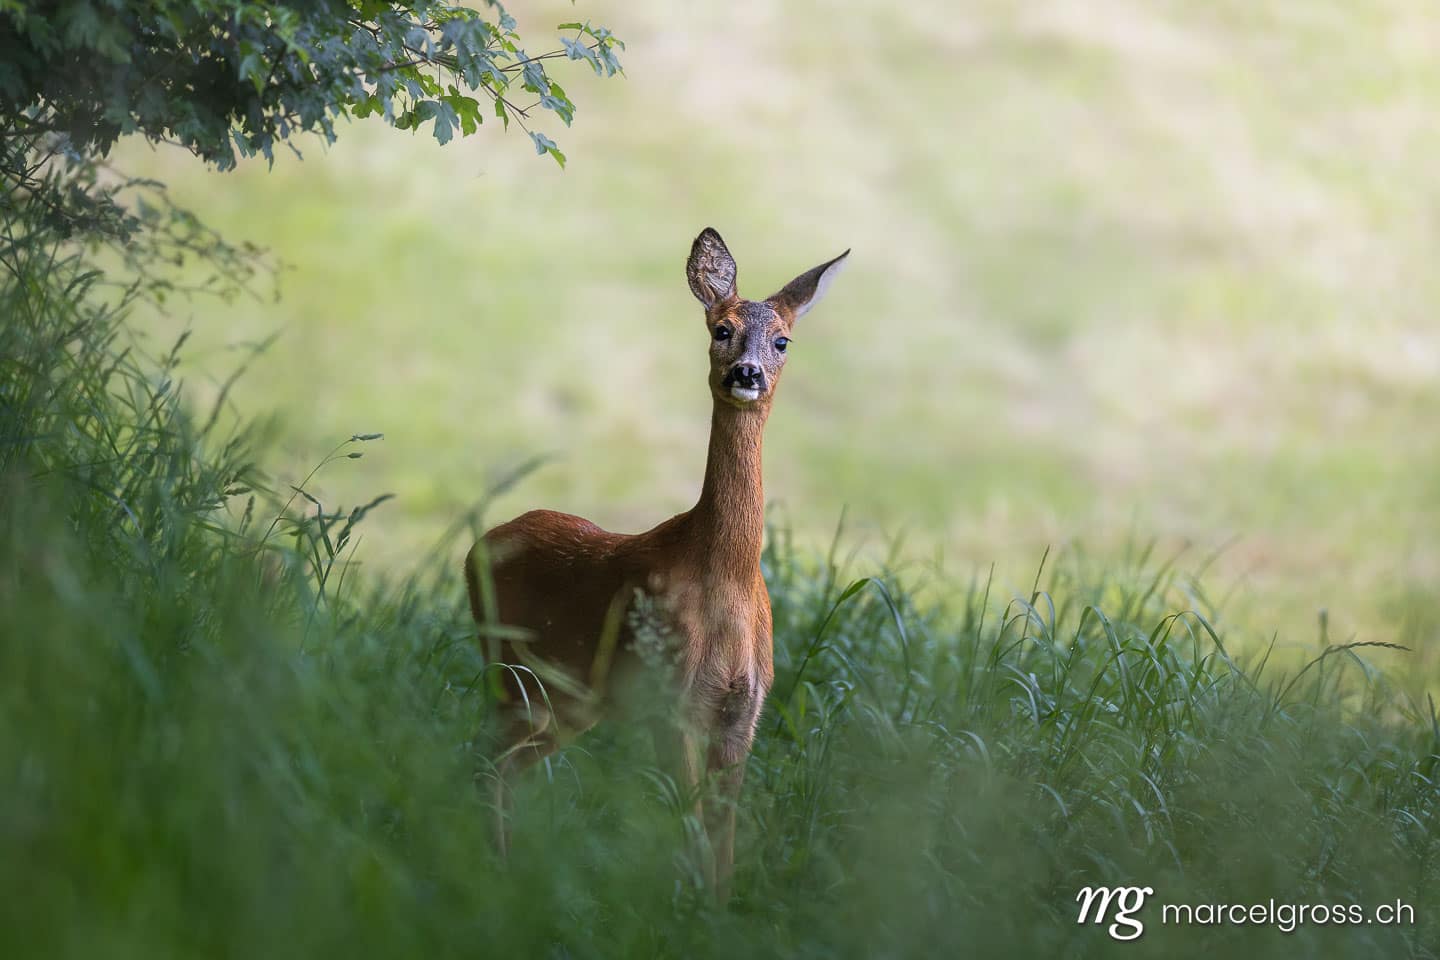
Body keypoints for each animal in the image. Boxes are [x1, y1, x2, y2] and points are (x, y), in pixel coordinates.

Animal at [464, 227, 847, 901]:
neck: (724, 583)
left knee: (506, 765)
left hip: (572, 698)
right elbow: (690, 821)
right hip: (513, 667)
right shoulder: (667, 692)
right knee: (486, 758)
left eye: (782, 340)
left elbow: (722, 833)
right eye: (720, 328)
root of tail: (472, 550)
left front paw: (716, 908)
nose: (747, 373)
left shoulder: (743, 710)